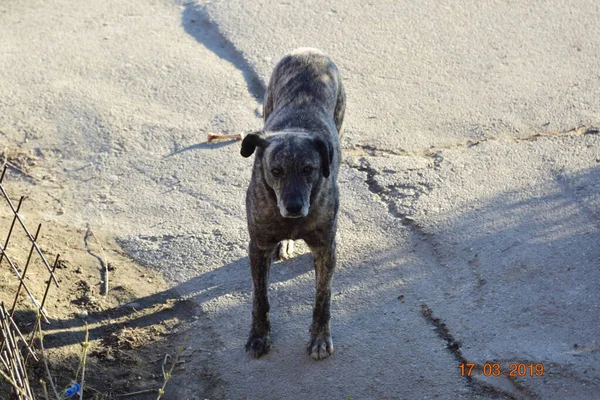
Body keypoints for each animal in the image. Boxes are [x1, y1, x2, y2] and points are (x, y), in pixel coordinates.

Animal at [238, 48, 342, 360]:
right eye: (276, 171)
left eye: (308, 169)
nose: (294, 206)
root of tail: (309, 51)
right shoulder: (258, 246)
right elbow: (260, 297)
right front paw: (259, 335)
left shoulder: (325, 248)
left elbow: (323, 297)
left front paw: (319, 337)